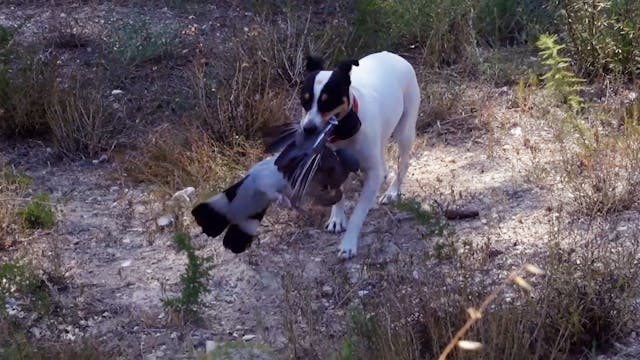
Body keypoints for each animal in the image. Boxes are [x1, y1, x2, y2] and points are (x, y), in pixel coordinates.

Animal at [298, 51, 420, 258]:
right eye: (304, 101)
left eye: (328, 101)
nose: (308, 129)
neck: (343, 134)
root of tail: (392, 55)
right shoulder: (333, 167)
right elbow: (338, 193)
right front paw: (337, 218)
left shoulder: (371, 173)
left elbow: (358, 214)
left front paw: (348, 243)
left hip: (405, 130)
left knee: (402, 163)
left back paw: (392, 191)